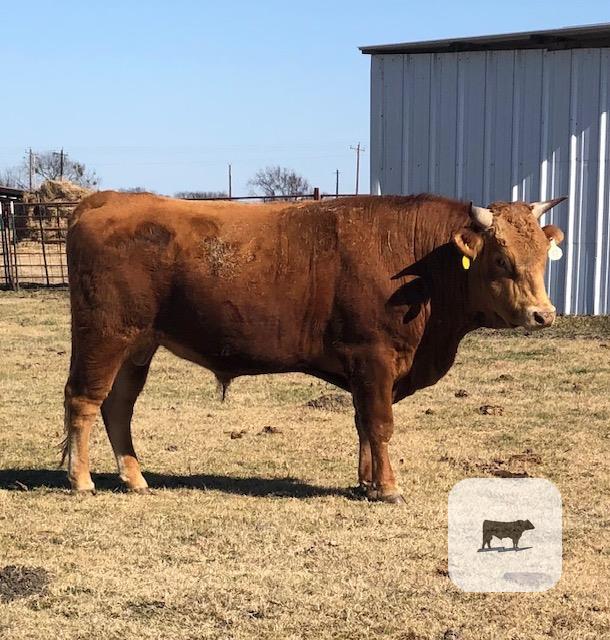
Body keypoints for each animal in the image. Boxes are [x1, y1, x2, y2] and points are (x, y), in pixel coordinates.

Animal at [63, 192, 565, 501]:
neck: (422, 266)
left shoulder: (364, 369)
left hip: (139, 344)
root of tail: (106, 198)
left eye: (544, 256)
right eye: (501, 259)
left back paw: (134, 477)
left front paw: (365, 483)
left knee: (118, 405)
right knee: (84, 400)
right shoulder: (373, 356)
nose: (543, 315)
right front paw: (388, 488)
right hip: (104, 335)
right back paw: (82, 479)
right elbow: (380, 424)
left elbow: (363, 424)